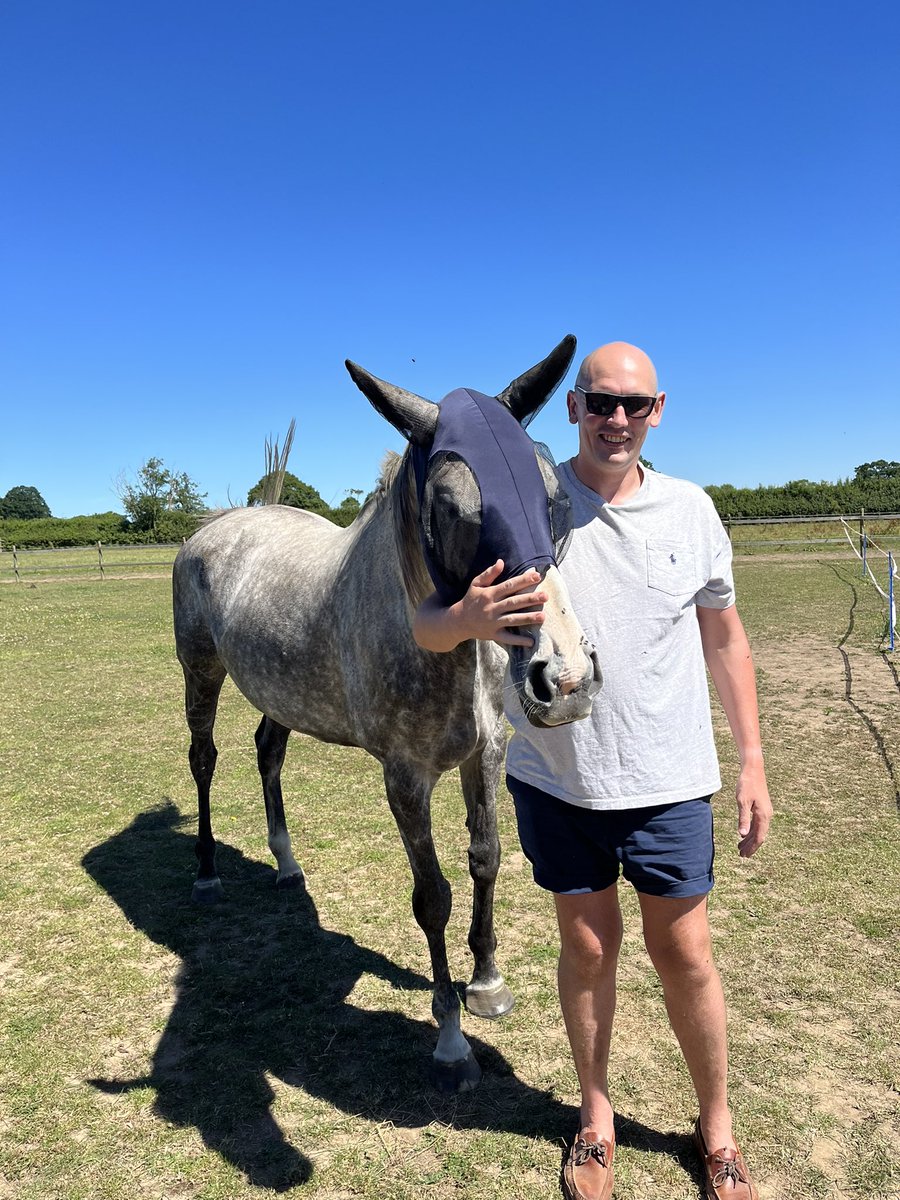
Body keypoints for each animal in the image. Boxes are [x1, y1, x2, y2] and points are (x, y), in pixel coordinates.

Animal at [172, 335, 602, 1091]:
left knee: (267, 751)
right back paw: (206, 873)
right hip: (202, 672)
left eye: (555, 500)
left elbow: (486, 859)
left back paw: (286, 865)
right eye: (454, 509)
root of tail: (218, 528)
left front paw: (487, 984)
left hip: (280, 693)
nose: (567, 679)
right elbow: (432, 896)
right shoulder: (405, 779)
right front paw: (452, 1041)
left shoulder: (484, 755)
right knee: (204, 759)